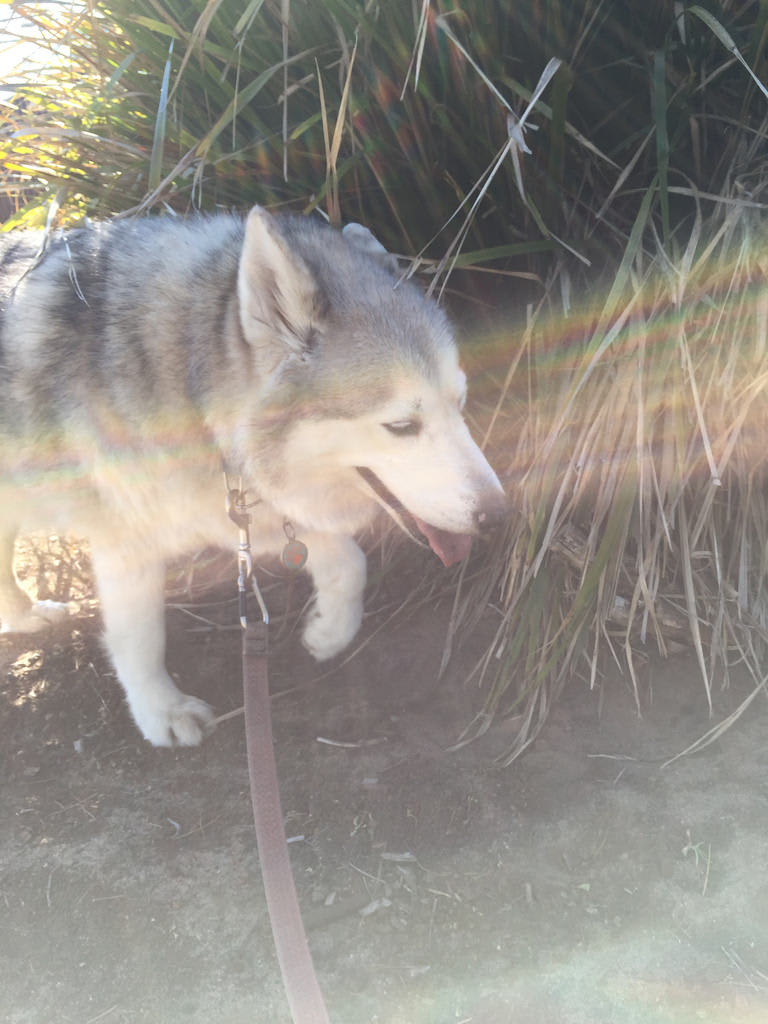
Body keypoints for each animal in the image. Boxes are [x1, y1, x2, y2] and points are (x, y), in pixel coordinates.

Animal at [0, 206, 507, 746]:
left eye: (460, 404)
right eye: (401, 426)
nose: (499, 517)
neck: (192, 392)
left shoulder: (256, 512)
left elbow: (349, 564)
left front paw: (328, 631)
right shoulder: (126, 539)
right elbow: (141, 637)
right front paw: (161, 713)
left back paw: (24, 614)